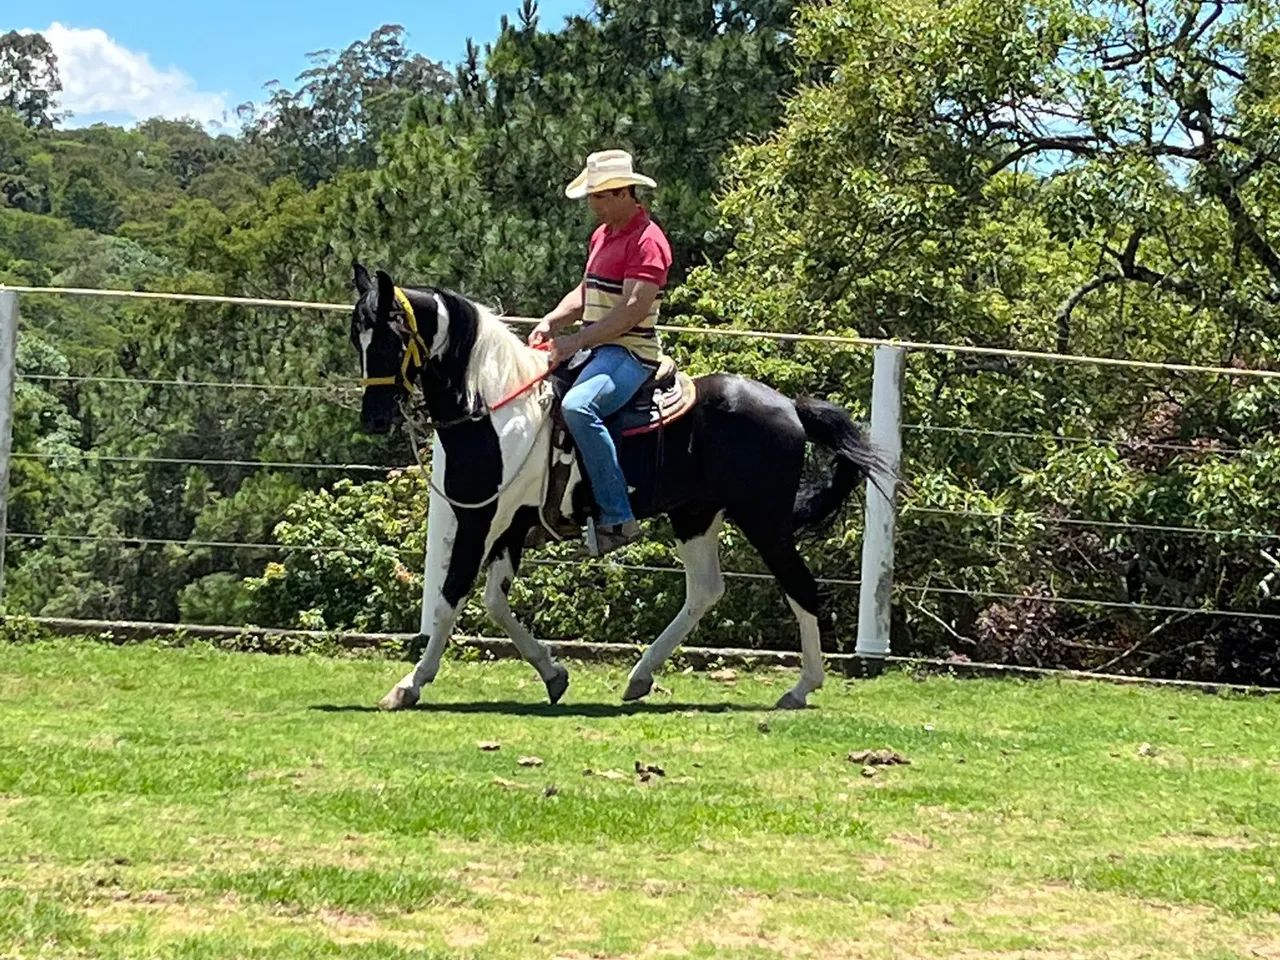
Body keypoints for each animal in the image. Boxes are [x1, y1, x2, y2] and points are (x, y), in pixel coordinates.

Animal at [349, 263, 894, 710]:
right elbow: (495, 602)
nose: (373, 419)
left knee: (799, 586)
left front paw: (408, 685)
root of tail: (790, 407)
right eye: (358, 338)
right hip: (695, 516)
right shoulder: (511, 527)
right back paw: (640, 677)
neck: (501, 409)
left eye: (390, 335)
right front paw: (553, 673)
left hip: (765, 520)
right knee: (704, 590)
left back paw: (801, 688)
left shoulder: (480, 520)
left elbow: (450, 597)